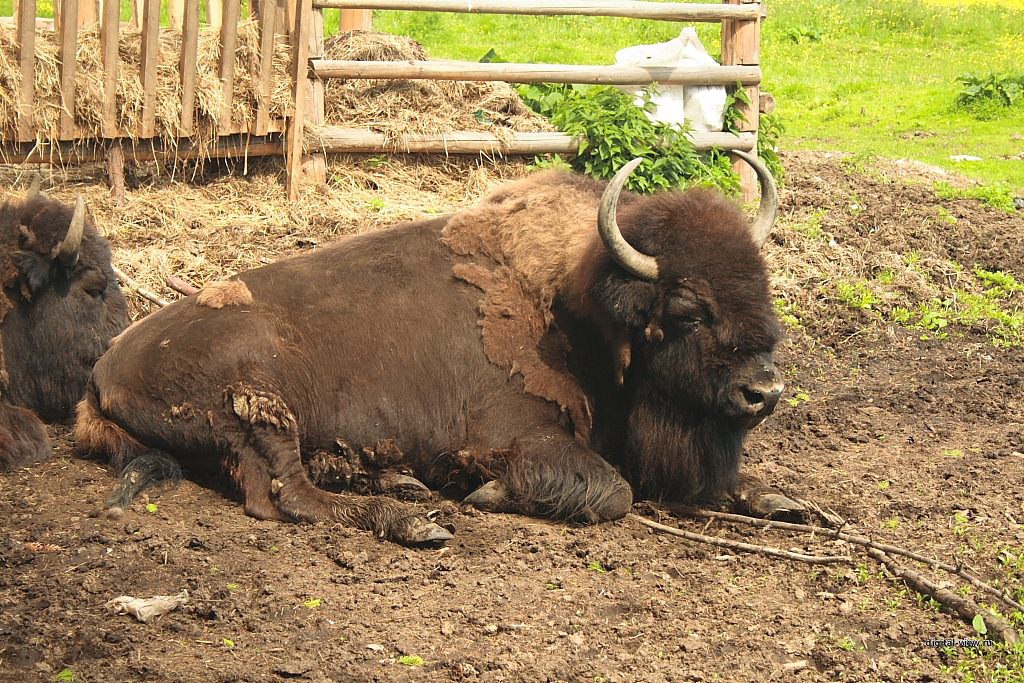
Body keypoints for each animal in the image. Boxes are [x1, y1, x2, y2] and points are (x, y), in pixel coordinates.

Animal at [77, 154, 790, 544]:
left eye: (761, 288)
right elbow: (612, 493)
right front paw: (488, 495)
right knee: (290, 496)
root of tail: (103, 369)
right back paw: (417, 520)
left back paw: (398, 483)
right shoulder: (518, 437)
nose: (763, 392)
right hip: (257, 403)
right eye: (688, 310)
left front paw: (785, 503)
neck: (582, 301)